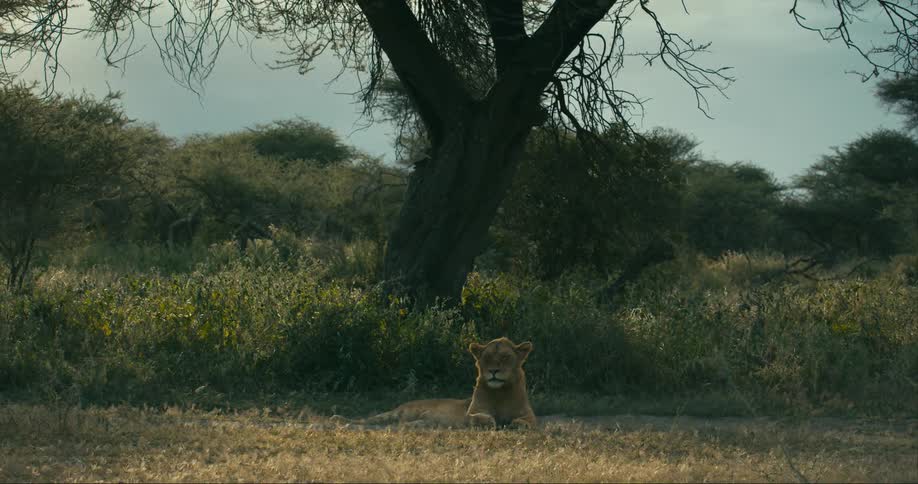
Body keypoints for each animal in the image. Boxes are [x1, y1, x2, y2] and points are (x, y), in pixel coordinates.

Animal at [330, 337, 536, 429]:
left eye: (505, 357)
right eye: (486, 358)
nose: (493, 371)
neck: (500, 392)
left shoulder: (529, 415)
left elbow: (525, 421)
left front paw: (514, 424)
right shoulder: (470, 413)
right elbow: (479, 417)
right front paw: (491, 421)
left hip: (422, 421)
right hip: (391, 415)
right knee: (365, 421)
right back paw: (339, 420)